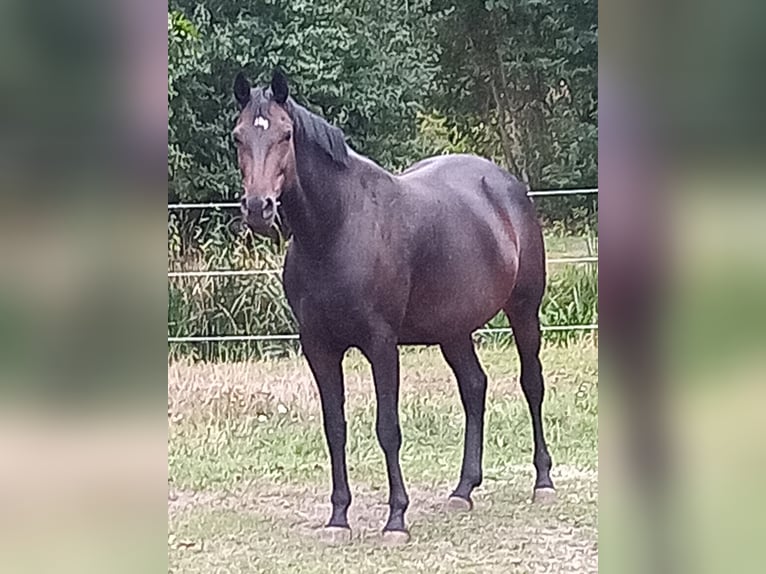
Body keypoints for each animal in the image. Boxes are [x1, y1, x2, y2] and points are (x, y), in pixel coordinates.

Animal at [231, 68, 556, 544]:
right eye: (238, 137)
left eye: (285, 135)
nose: (258, 208)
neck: (336, 229)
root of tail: (507, 185)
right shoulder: (319, 347)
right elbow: (335, 428)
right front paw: (338, 517)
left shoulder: (381, 344)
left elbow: (388, 429)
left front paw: (396, 519)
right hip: (453, 330)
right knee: (474, 388)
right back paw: (463, 490)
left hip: (524, 310)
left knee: (531, 384)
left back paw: (543, 482)